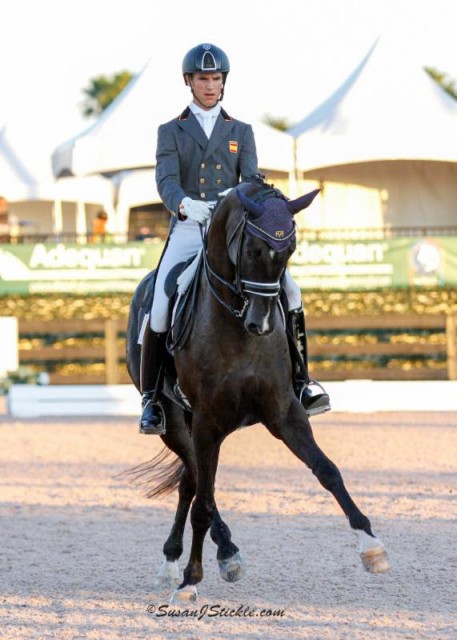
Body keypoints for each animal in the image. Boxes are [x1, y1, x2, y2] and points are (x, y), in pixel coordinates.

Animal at [125, 181, 388, 604]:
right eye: (251, 250)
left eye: (291, 250)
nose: (261, 324)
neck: (235, 324)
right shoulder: (207, 424)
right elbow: (204, 504)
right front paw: (190, 582)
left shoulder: (284, 412)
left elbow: (327, 470)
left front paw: (371, 545)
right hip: (175, 424)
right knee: (197, 484)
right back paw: (215, 555)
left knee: (189, 483)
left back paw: (184, 559)